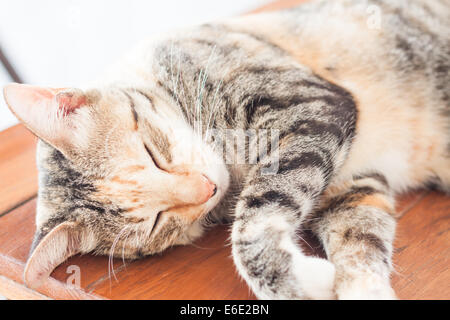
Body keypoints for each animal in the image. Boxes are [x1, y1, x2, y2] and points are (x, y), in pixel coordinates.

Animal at [3, 0, 450, 300]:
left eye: (152, 151)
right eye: (157, 222)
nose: (207, 189)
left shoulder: (312, 107)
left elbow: (251, 223)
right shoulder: (350, 185)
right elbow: (360, 245)